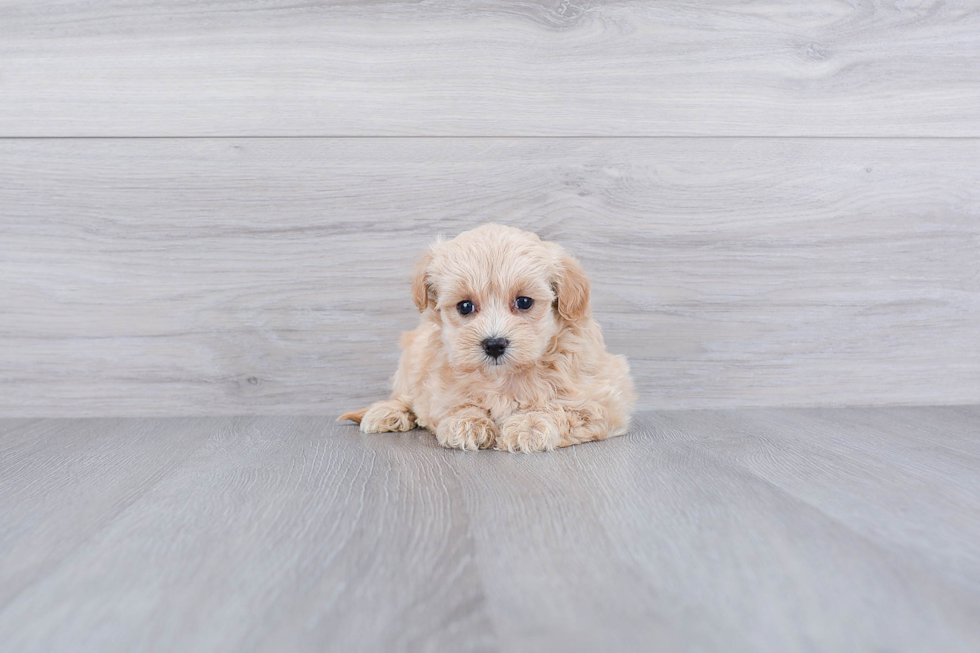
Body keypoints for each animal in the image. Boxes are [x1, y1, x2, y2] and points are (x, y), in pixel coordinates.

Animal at [340, 224, 640, 454]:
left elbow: (559, 409)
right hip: (412, 359)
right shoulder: (438, 390)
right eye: (465, 306)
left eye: (524, 302)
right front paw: (467, 424)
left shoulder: (601, 401)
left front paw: (529, 426)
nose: (494, 344)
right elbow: (456, 404)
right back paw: (387, 413)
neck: (504, 378)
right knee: (404, 396)